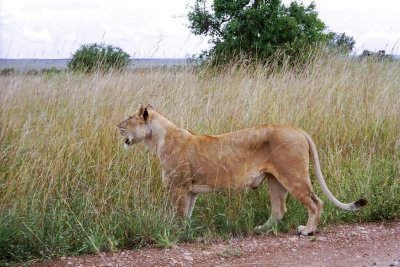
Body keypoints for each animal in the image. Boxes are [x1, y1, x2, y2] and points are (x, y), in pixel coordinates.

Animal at [117, 104, 368, 237]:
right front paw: (186, 232)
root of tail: (297, 129)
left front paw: (176, 233)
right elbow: (186, 214)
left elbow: (178, 214)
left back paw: (307, 231)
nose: (117, 125)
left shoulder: (178, 187)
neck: (157, 139)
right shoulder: (190, 190)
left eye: (129, 118)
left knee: (316, 203)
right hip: (275, 180)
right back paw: (261, 229)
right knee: (279, 209)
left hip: (293, 175)